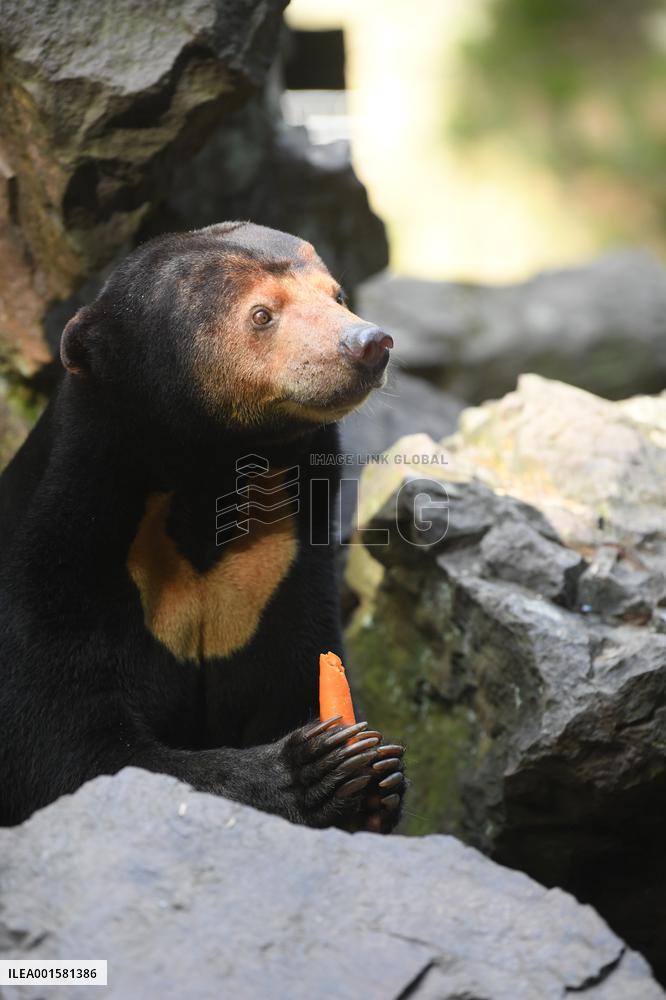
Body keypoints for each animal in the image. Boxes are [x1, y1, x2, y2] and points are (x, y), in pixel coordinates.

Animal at [0, 221, 406, 832]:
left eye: (337, 295)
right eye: (262, 314)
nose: (369, 343)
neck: (206, 480)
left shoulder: (277, 574)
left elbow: (293, 672)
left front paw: (376, 775)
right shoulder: (59, 570)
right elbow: (68, 750)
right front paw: (311, 770)